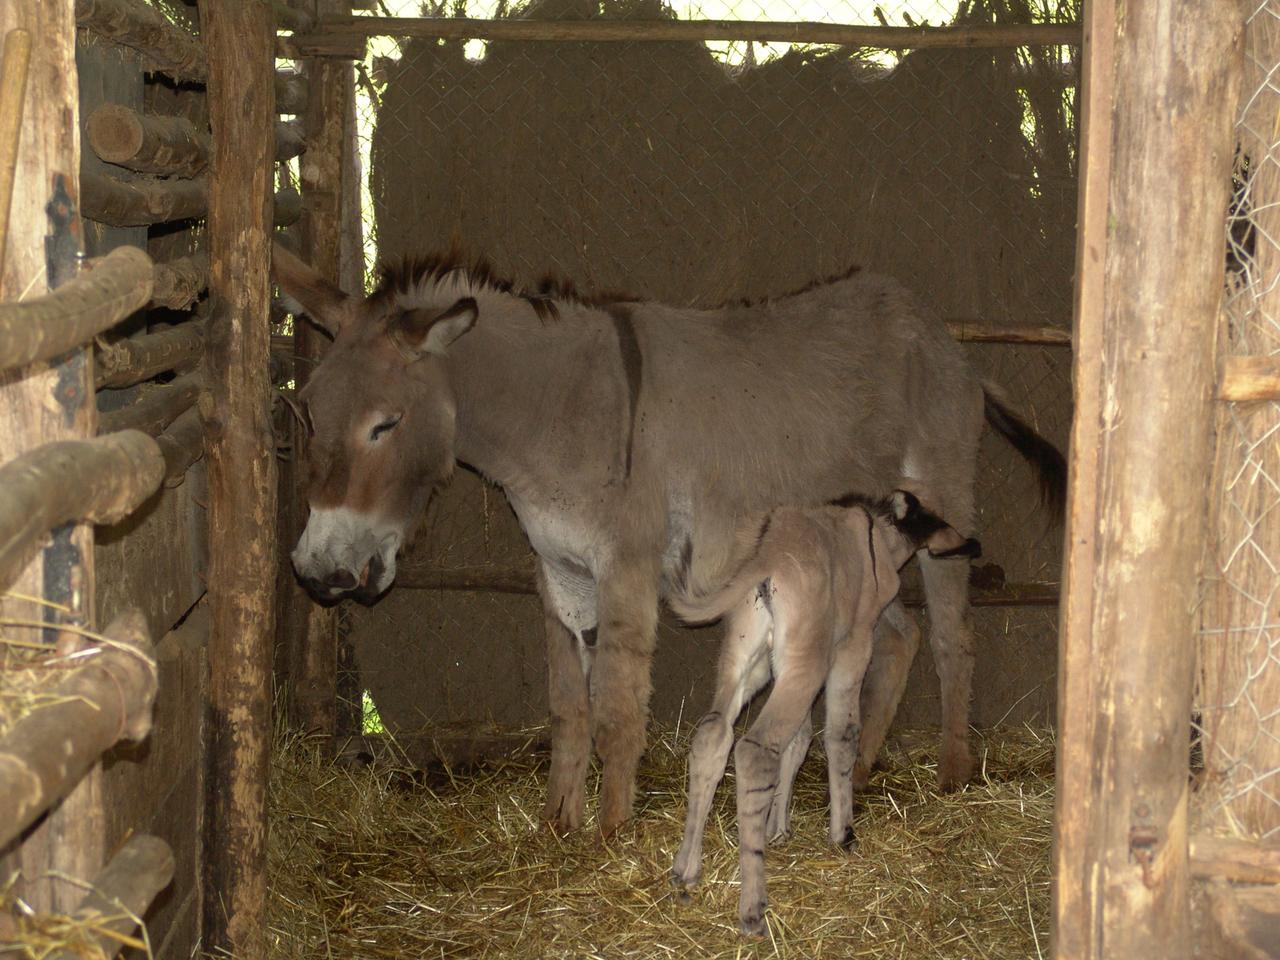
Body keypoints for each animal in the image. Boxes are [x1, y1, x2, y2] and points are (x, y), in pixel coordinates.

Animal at [665, 491, 972, 936]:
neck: (876, 537)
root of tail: (772, 550)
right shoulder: (852, 648)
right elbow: (841, 734)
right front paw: (842, 833)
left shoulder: (778, 668)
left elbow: (798, 742)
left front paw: (778, 828)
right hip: (806, 664)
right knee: (756, 750)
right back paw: (752, 907)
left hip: (746, 659)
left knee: (714, 735)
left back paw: (686, 868)